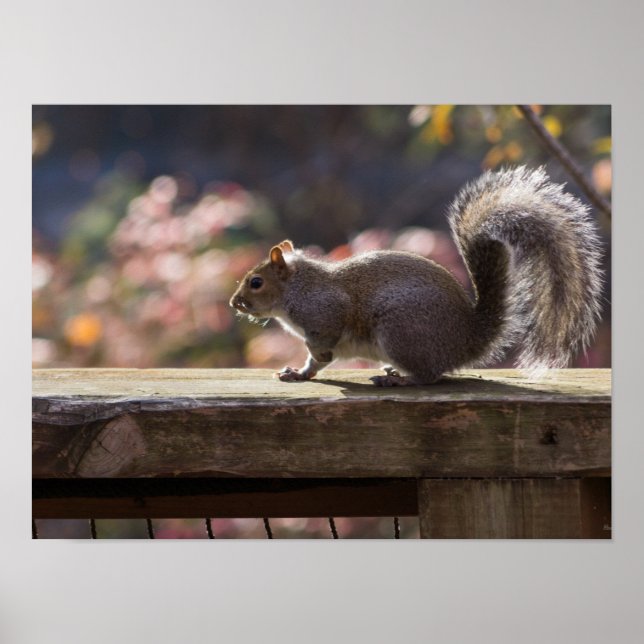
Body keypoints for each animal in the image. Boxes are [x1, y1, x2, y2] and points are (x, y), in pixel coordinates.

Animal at [229, 167, 603, 386]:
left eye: (256, 282)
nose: (235, 303)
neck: (296, 287)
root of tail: (468, 339)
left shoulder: (324, 310)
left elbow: (323, 342)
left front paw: (317, 358)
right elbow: (314, 363)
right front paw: (299, 372)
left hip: (400, 330)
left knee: (429, 377)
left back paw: (399, 379)